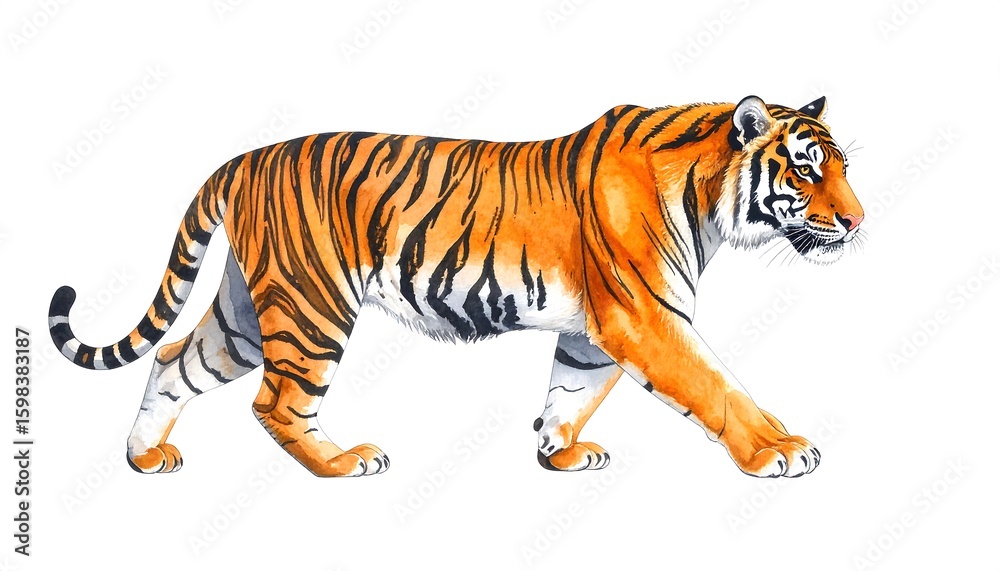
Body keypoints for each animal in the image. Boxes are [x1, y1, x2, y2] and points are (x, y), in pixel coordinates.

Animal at [48, 95, 863, 478]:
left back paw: (143, 458)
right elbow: (721, 388)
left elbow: (567, 392)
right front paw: (782, 450)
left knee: (174, 358)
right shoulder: (646, 318)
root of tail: (241, 160)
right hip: (311, 305)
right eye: (805, 169)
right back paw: (343, 462)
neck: (707, 197)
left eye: (843, 166)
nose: (859, 221)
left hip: (249, 310)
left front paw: (558, 453)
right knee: (275, 402)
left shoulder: (595, 333)